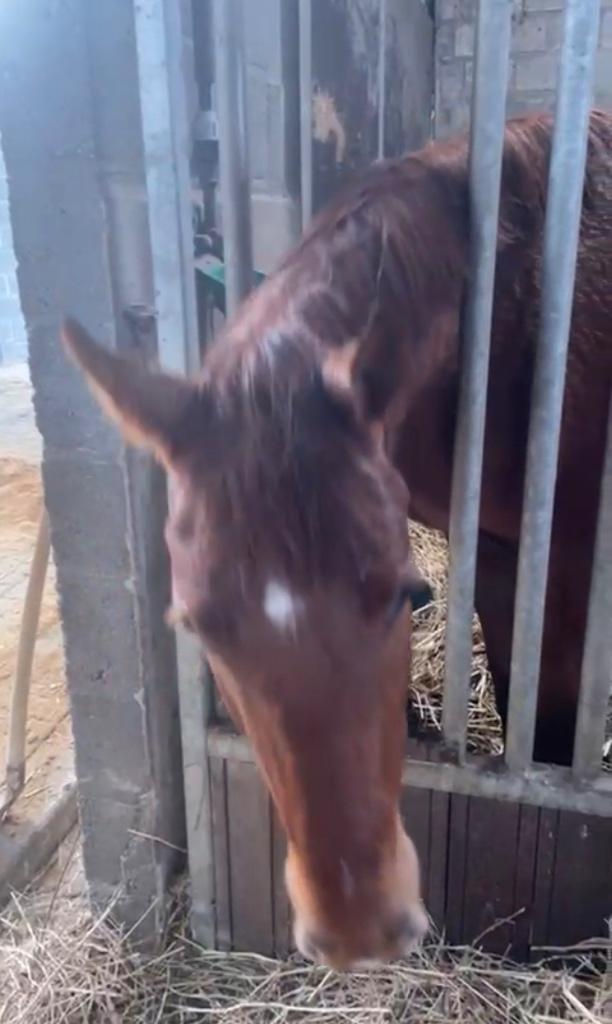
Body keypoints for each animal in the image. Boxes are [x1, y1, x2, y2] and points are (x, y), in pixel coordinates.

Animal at [61, 110, 612, 969]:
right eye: (195, 627)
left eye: (410, 596)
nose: (359, 929)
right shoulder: (493, 547)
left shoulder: (566, 553)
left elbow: (551, 734)